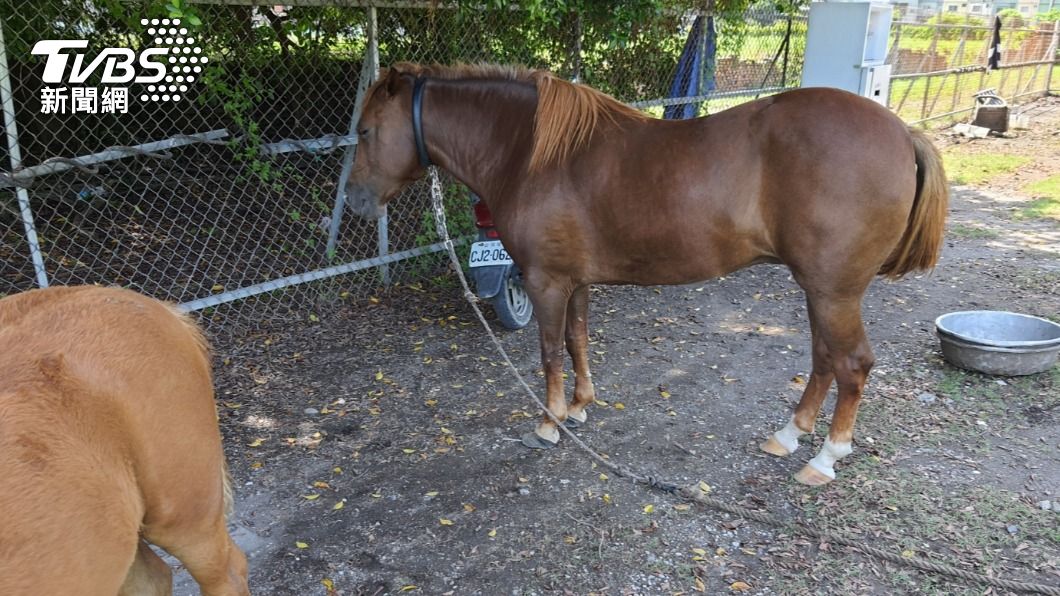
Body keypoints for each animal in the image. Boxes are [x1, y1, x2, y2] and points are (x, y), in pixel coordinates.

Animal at [346, 62, 948, 485]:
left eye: (368, 131)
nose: (353, 201)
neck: (531, 152)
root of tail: (901, 133)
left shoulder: (545, 282)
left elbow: (548, 351)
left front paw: (549, 423)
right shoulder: (576, 282)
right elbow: (578, 340)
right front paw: (581, 407)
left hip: (834, 291)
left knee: (852, 365)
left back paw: (825, 458)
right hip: (820, 289)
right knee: (824, 359)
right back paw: (789, 435)